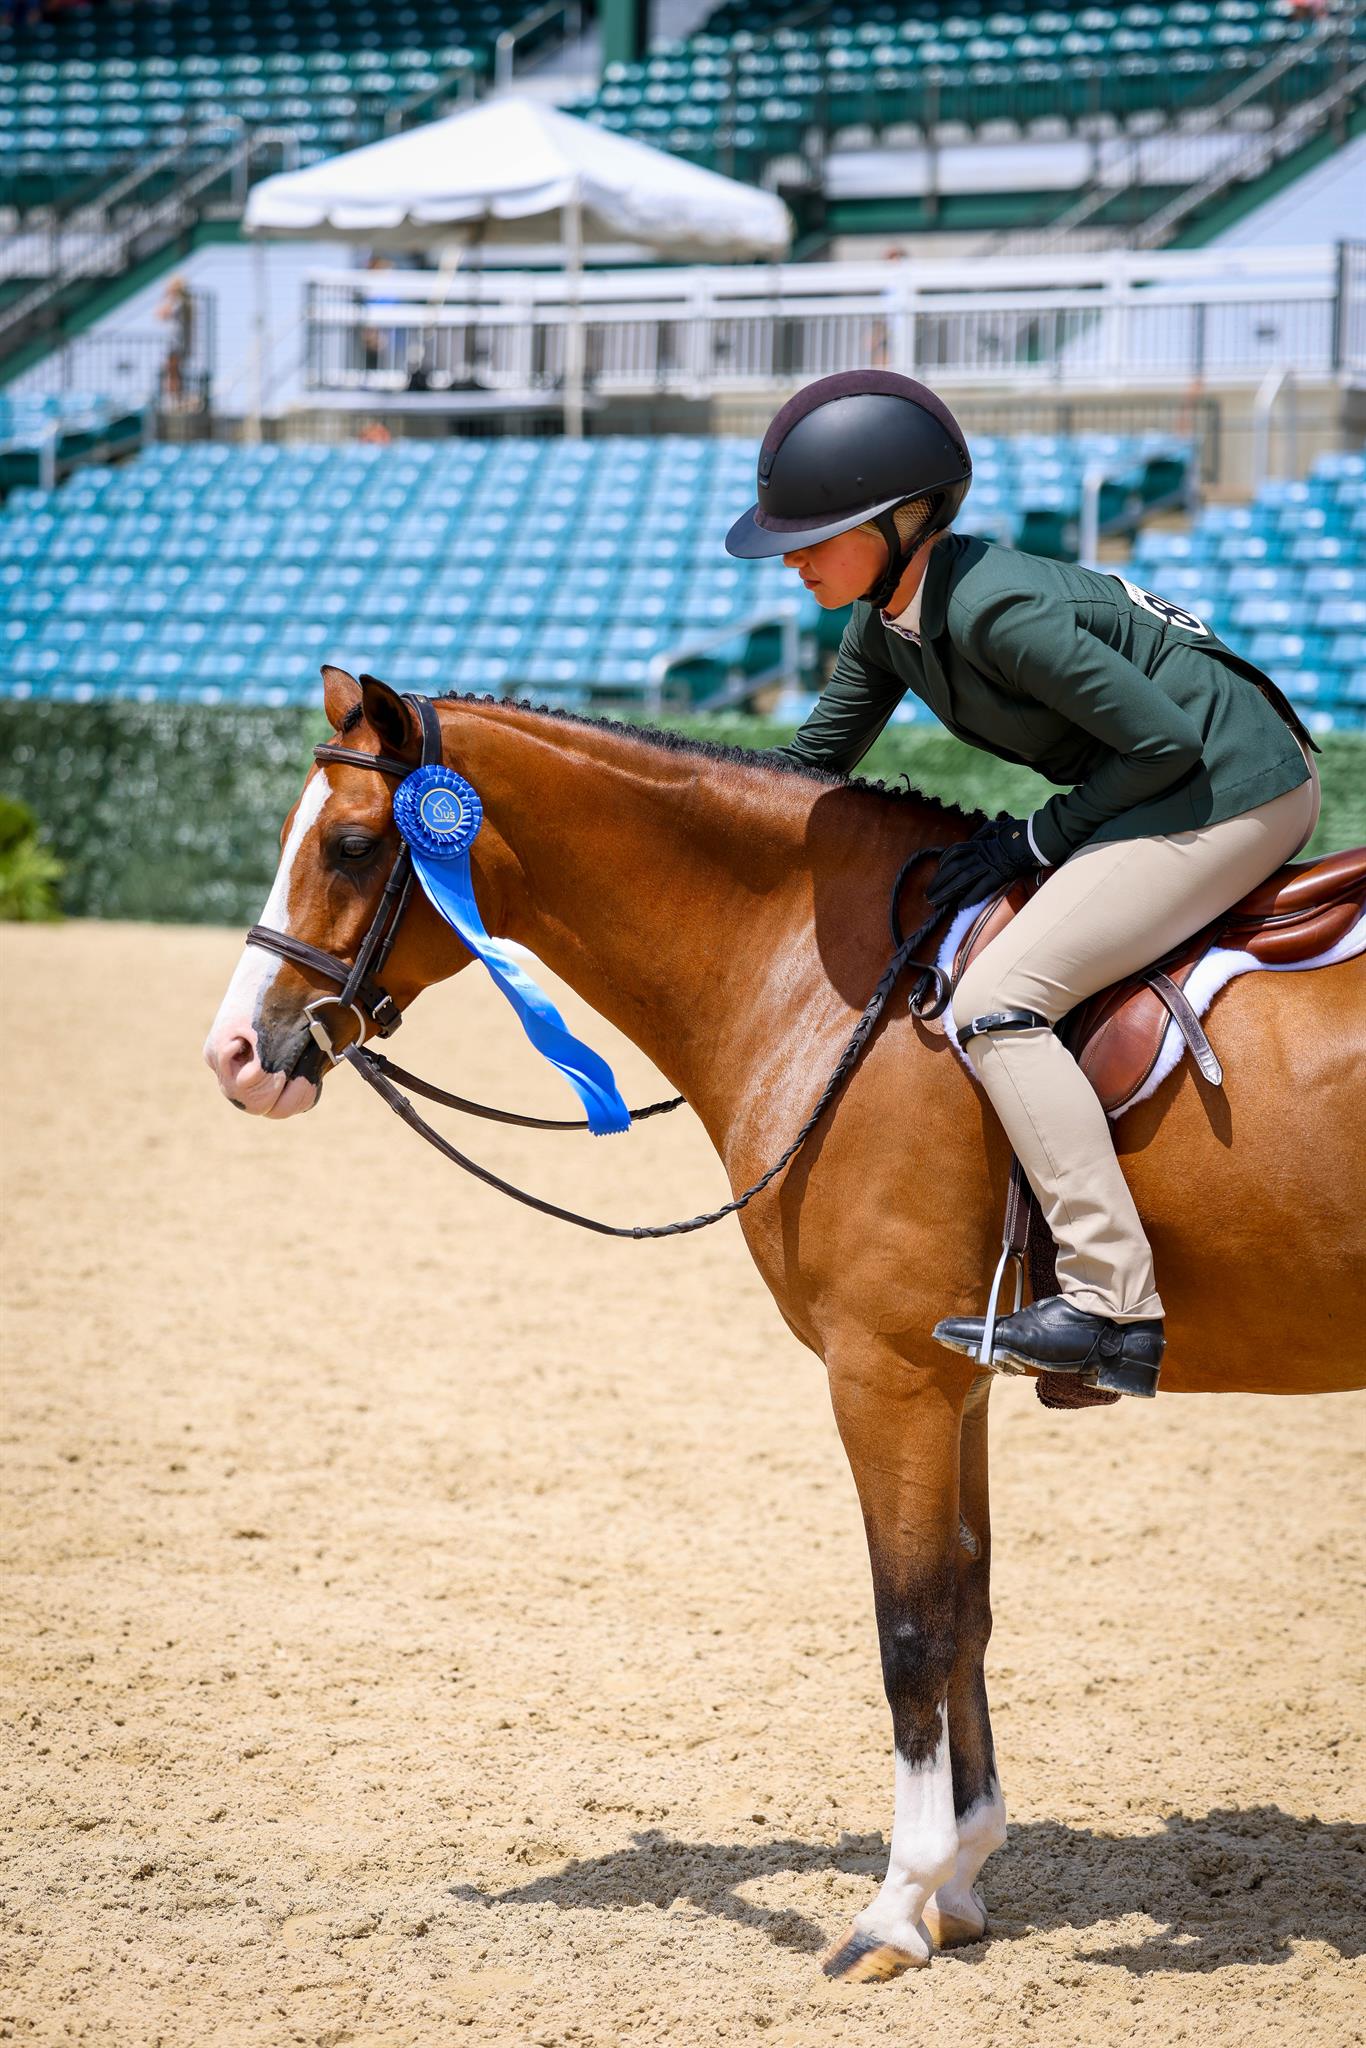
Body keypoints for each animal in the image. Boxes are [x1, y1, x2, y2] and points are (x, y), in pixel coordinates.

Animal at [204, 666, 1366, 1982]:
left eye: (352, 846)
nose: (237, 1052)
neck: (832, 984)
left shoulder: (883, 1374)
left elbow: (910, 1626)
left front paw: (892, 1908)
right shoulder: (954, 1377)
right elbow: (967, 1608)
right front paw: (959, 1881)